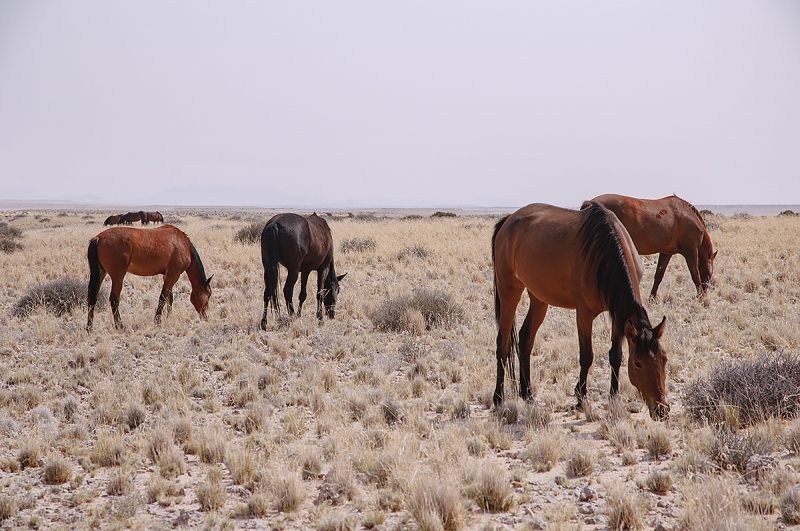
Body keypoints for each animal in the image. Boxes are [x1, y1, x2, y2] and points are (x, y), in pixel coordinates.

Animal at [494, 203, 668, 420]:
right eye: (638, 364)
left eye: (664, 360)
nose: (662, 409)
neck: (605, 253)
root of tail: (508, 220)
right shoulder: (584, 314)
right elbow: (586, 356)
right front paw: (580, 398)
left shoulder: (618, 315)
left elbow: (616, 355)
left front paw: (613, 397)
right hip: (509, 292)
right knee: (503, 343)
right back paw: (498, 398)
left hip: (538, 298)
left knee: (525, 339)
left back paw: (527, 395)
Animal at [580, 194, 720, 300]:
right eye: (710, 274)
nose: (706, 293)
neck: (688, 216)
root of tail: (589, 203)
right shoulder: (690, 251)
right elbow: (695, 274)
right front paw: (700, 298)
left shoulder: (666, 253)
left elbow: (658, 275)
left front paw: (651, 299)